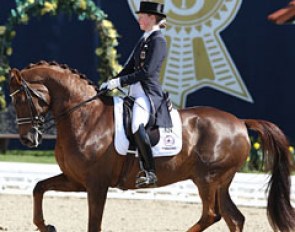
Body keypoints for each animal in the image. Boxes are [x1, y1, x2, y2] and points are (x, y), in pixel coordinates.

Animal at [8, 61, 294, 232]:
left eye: (22, 99)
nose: (27, 139)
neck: (85, 118)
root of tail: (240, 122)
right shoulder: (76, 180)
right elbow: (38, 188)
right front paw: (46, 226)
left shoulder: (96, 185)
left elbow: (94, 224)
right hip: (220, 182)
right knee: (233, 218)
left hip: (207, 179)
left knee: (212, 215)